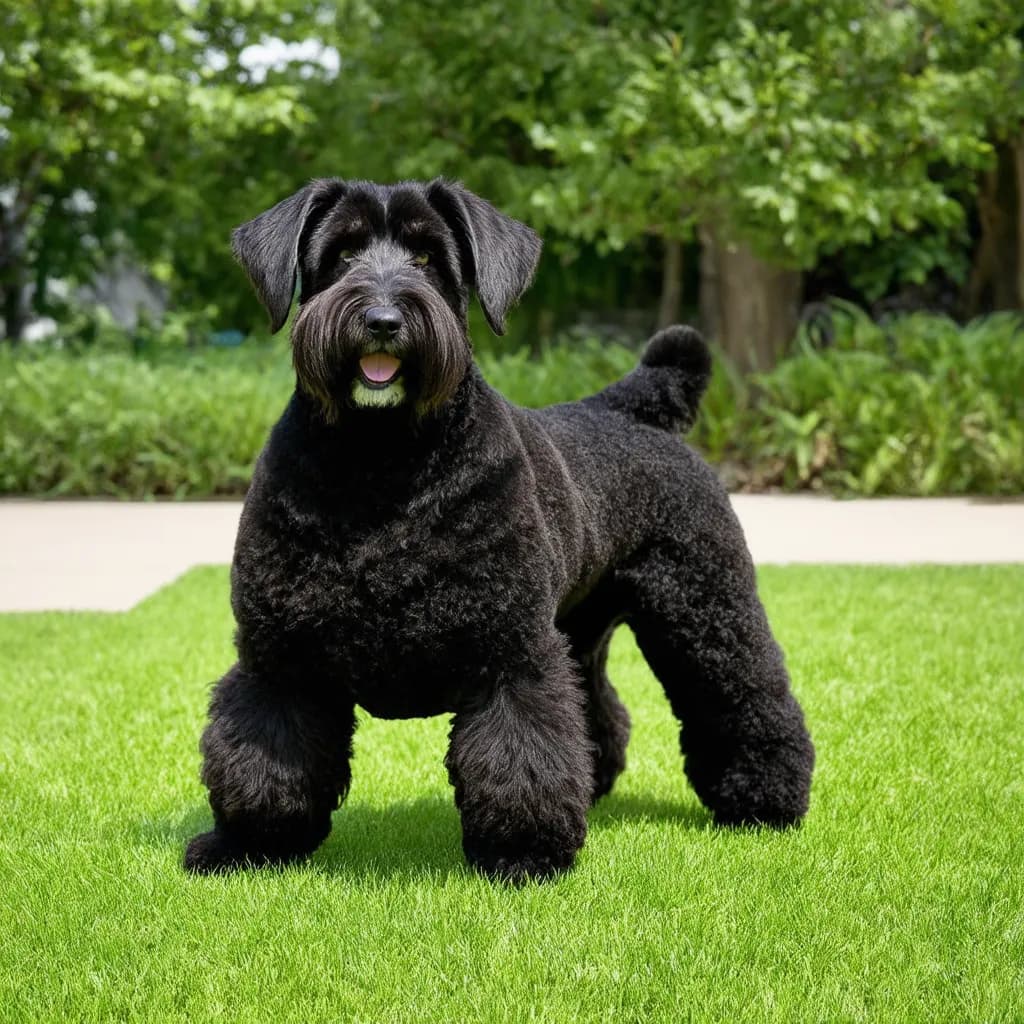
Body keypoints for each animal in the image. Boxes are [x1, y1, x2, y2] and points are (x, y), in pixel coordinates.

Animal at [180, 176, 811, 880]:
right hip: (581, 630)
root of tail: (634, 407)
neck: (380, 463)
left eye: (427, 257)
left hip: (705, 610)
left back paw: (764, 797)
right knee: (599, 709)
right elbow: (267, 753)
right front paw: (250, 843)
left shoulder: (511, 654)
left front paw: (522, 852)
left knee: (745, 692)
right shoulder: (281, 655)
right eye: (341, 254)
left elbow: (521, 750)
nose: (382, 319)